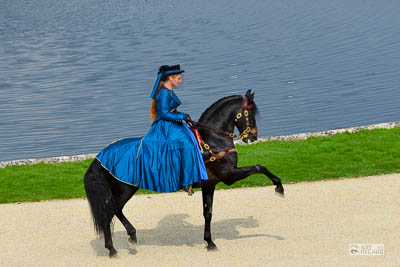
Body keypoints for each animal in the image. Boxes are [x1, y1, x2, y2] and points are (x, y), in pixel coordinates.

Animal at [84, 89, 284, 258]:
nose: (253, 137)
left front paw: (209, 242)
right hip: (125, 189)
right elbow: (259, 167)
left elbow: (208, 213)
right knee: (110, 213)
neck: (213, 139)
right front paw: (279, 186)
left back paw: (131, 235)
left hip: (125, 189)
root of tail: (101, 156)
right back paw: (112, 249)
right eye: (251, 114)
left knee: (116, 211)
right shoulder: (229, 175)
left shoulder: (210, 184)